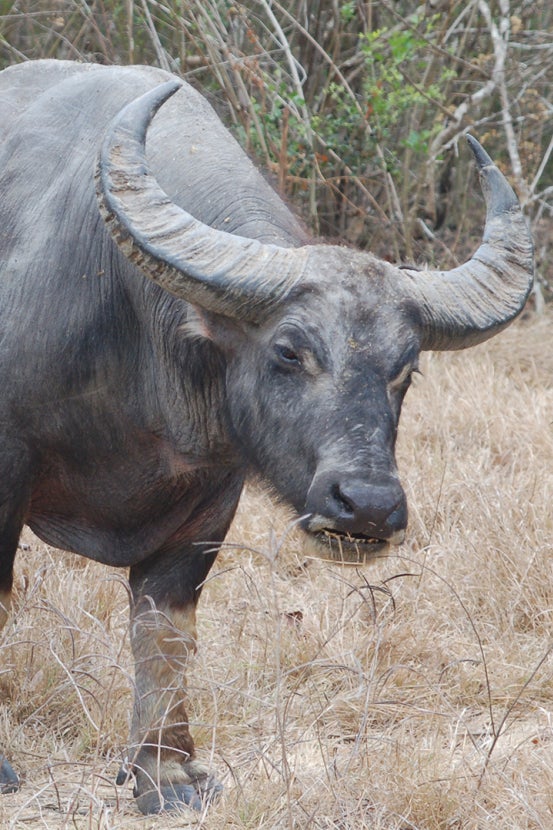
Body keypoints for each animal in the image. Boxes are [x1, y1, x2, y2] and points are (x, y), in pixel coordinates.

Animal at [0, 60, 533, 813]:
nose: (367, 506)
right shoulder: (7, 465)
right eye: (288, 351)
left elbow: (164, 629)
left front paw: (164, 773)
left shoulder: (208, 500)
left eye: (407, 368)